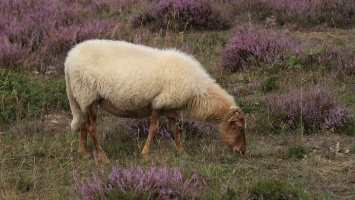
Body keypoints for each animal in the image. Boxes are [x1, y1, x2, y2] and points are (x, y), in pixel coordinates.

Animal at [64, 39, 248, 163]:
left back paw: (84, 153)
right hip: (89, 95)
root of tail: (69, 58)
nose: (242, 152)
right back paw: (103, 157)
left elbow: (175, 130)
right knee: (91, 127)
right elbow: (154, 128)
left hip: (84, 99)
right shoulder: (159, 103)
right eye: (239, 128)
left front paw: (182, 153)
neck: (198, 94)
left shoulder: (171, 106)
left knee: (83, 125)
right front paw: (145, 154)